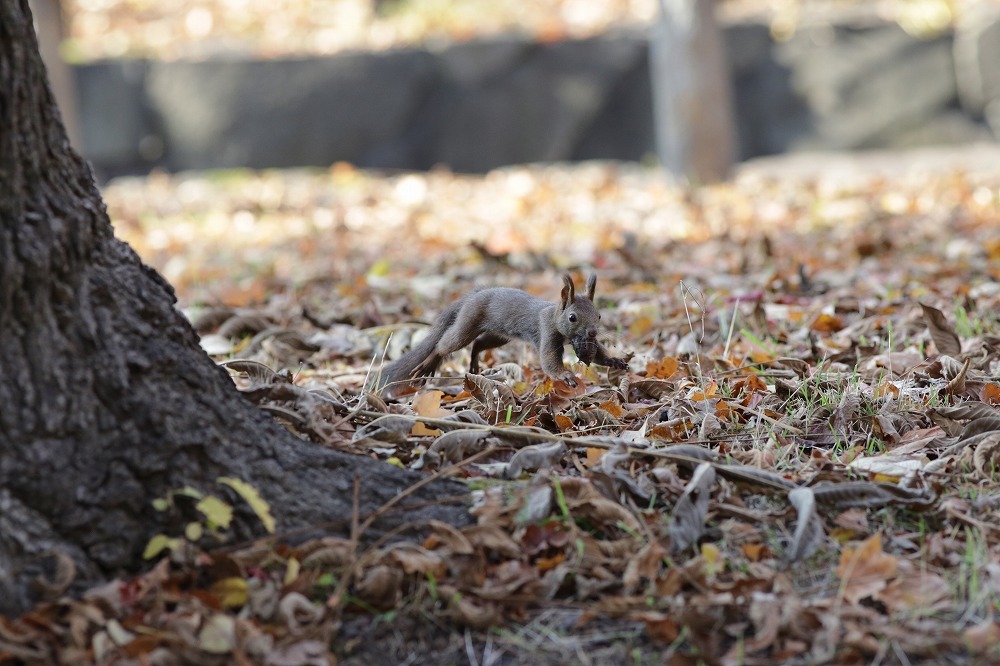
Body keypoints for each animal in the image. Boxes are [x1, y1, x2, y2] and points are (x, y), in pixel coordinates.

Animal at [378, 274, 628, 392]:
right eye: (572, 317)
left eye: (599, 316)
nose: (593, 333)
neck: (554, 316)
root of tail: (476, 294)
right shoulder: (547, 332)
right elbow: (549, 361)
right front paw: (565, 375)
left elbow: (599, 354)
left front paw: (614, 360)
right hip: (467, 324)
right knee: (445, 345)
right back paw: (429, 363)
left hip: (499, 336)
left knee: (479, 344)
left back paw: (474, 364)